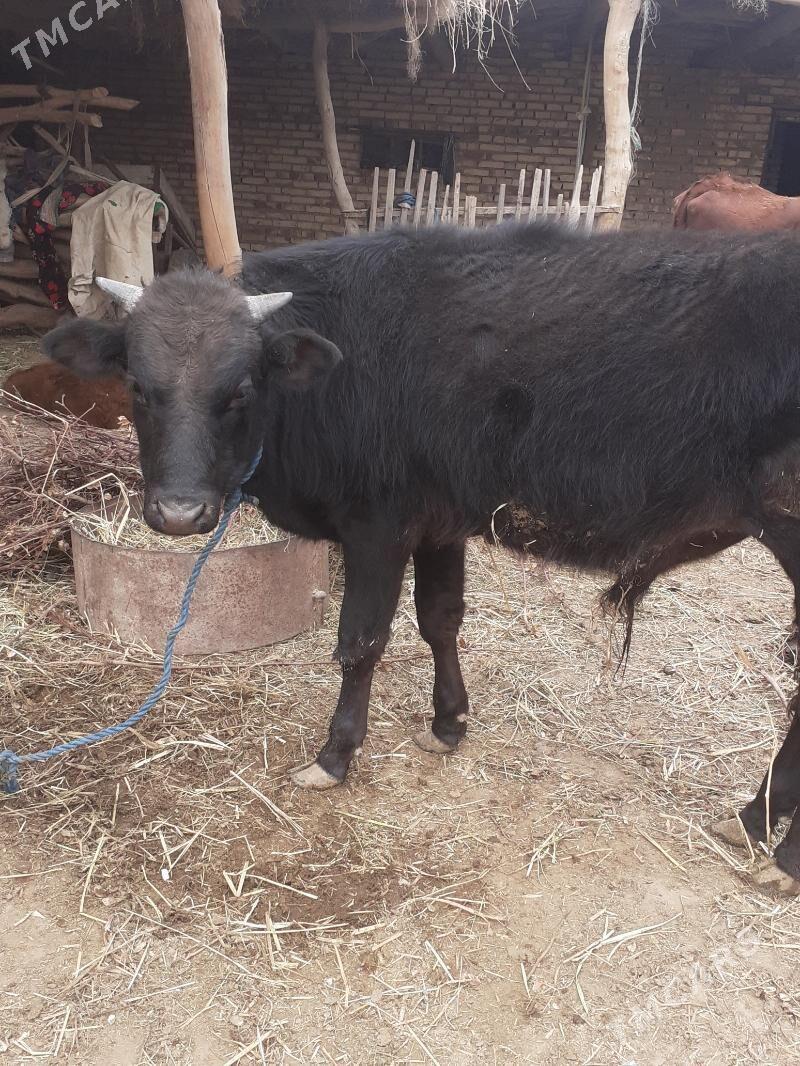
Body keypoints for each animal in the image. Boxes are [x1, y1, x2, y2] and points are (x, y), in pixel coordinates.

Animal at [41, 223, 800, 890]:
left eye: (242, 389)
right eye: (139, 388)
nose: (178, 513)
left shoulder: (376, 524)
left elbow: (361, 641)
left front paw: (335, 754)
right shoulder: (442, 521)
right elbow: (440, 618)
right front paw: (448, 723)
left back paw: (776, 852)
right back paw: (754, 821)